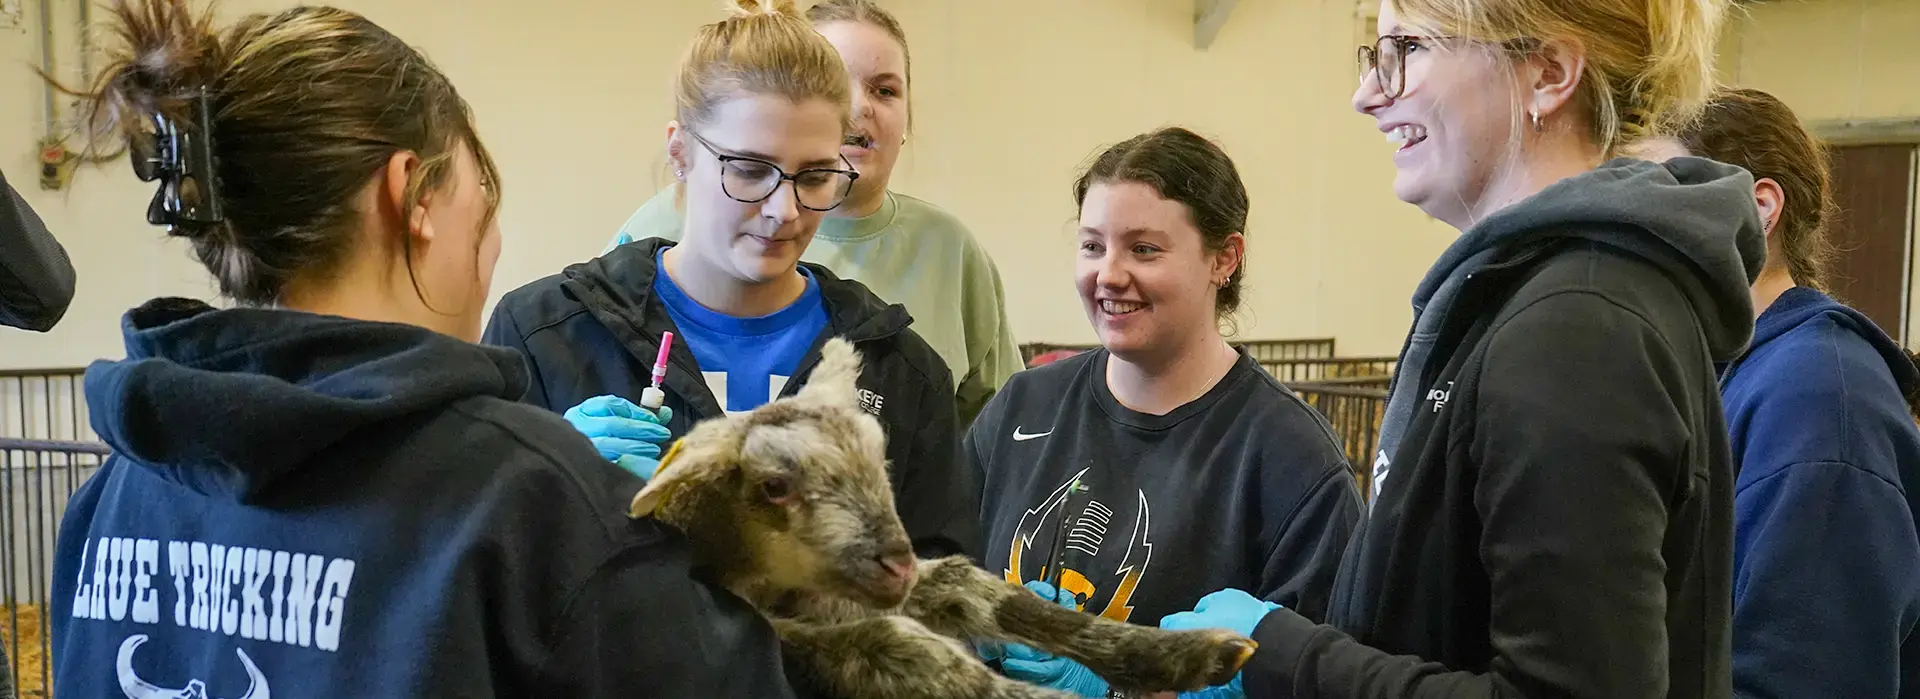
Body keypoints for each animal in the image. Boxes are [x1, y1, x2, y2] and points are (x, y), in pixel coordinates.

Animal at [628, 337, 1258, 699]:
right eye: (774, 487)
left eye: (879, 454)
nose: (898, 565)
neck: (783, 586)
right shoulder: (789, 635)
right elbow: (897, 649)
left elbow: (987, 594)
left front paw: (1178, 655)